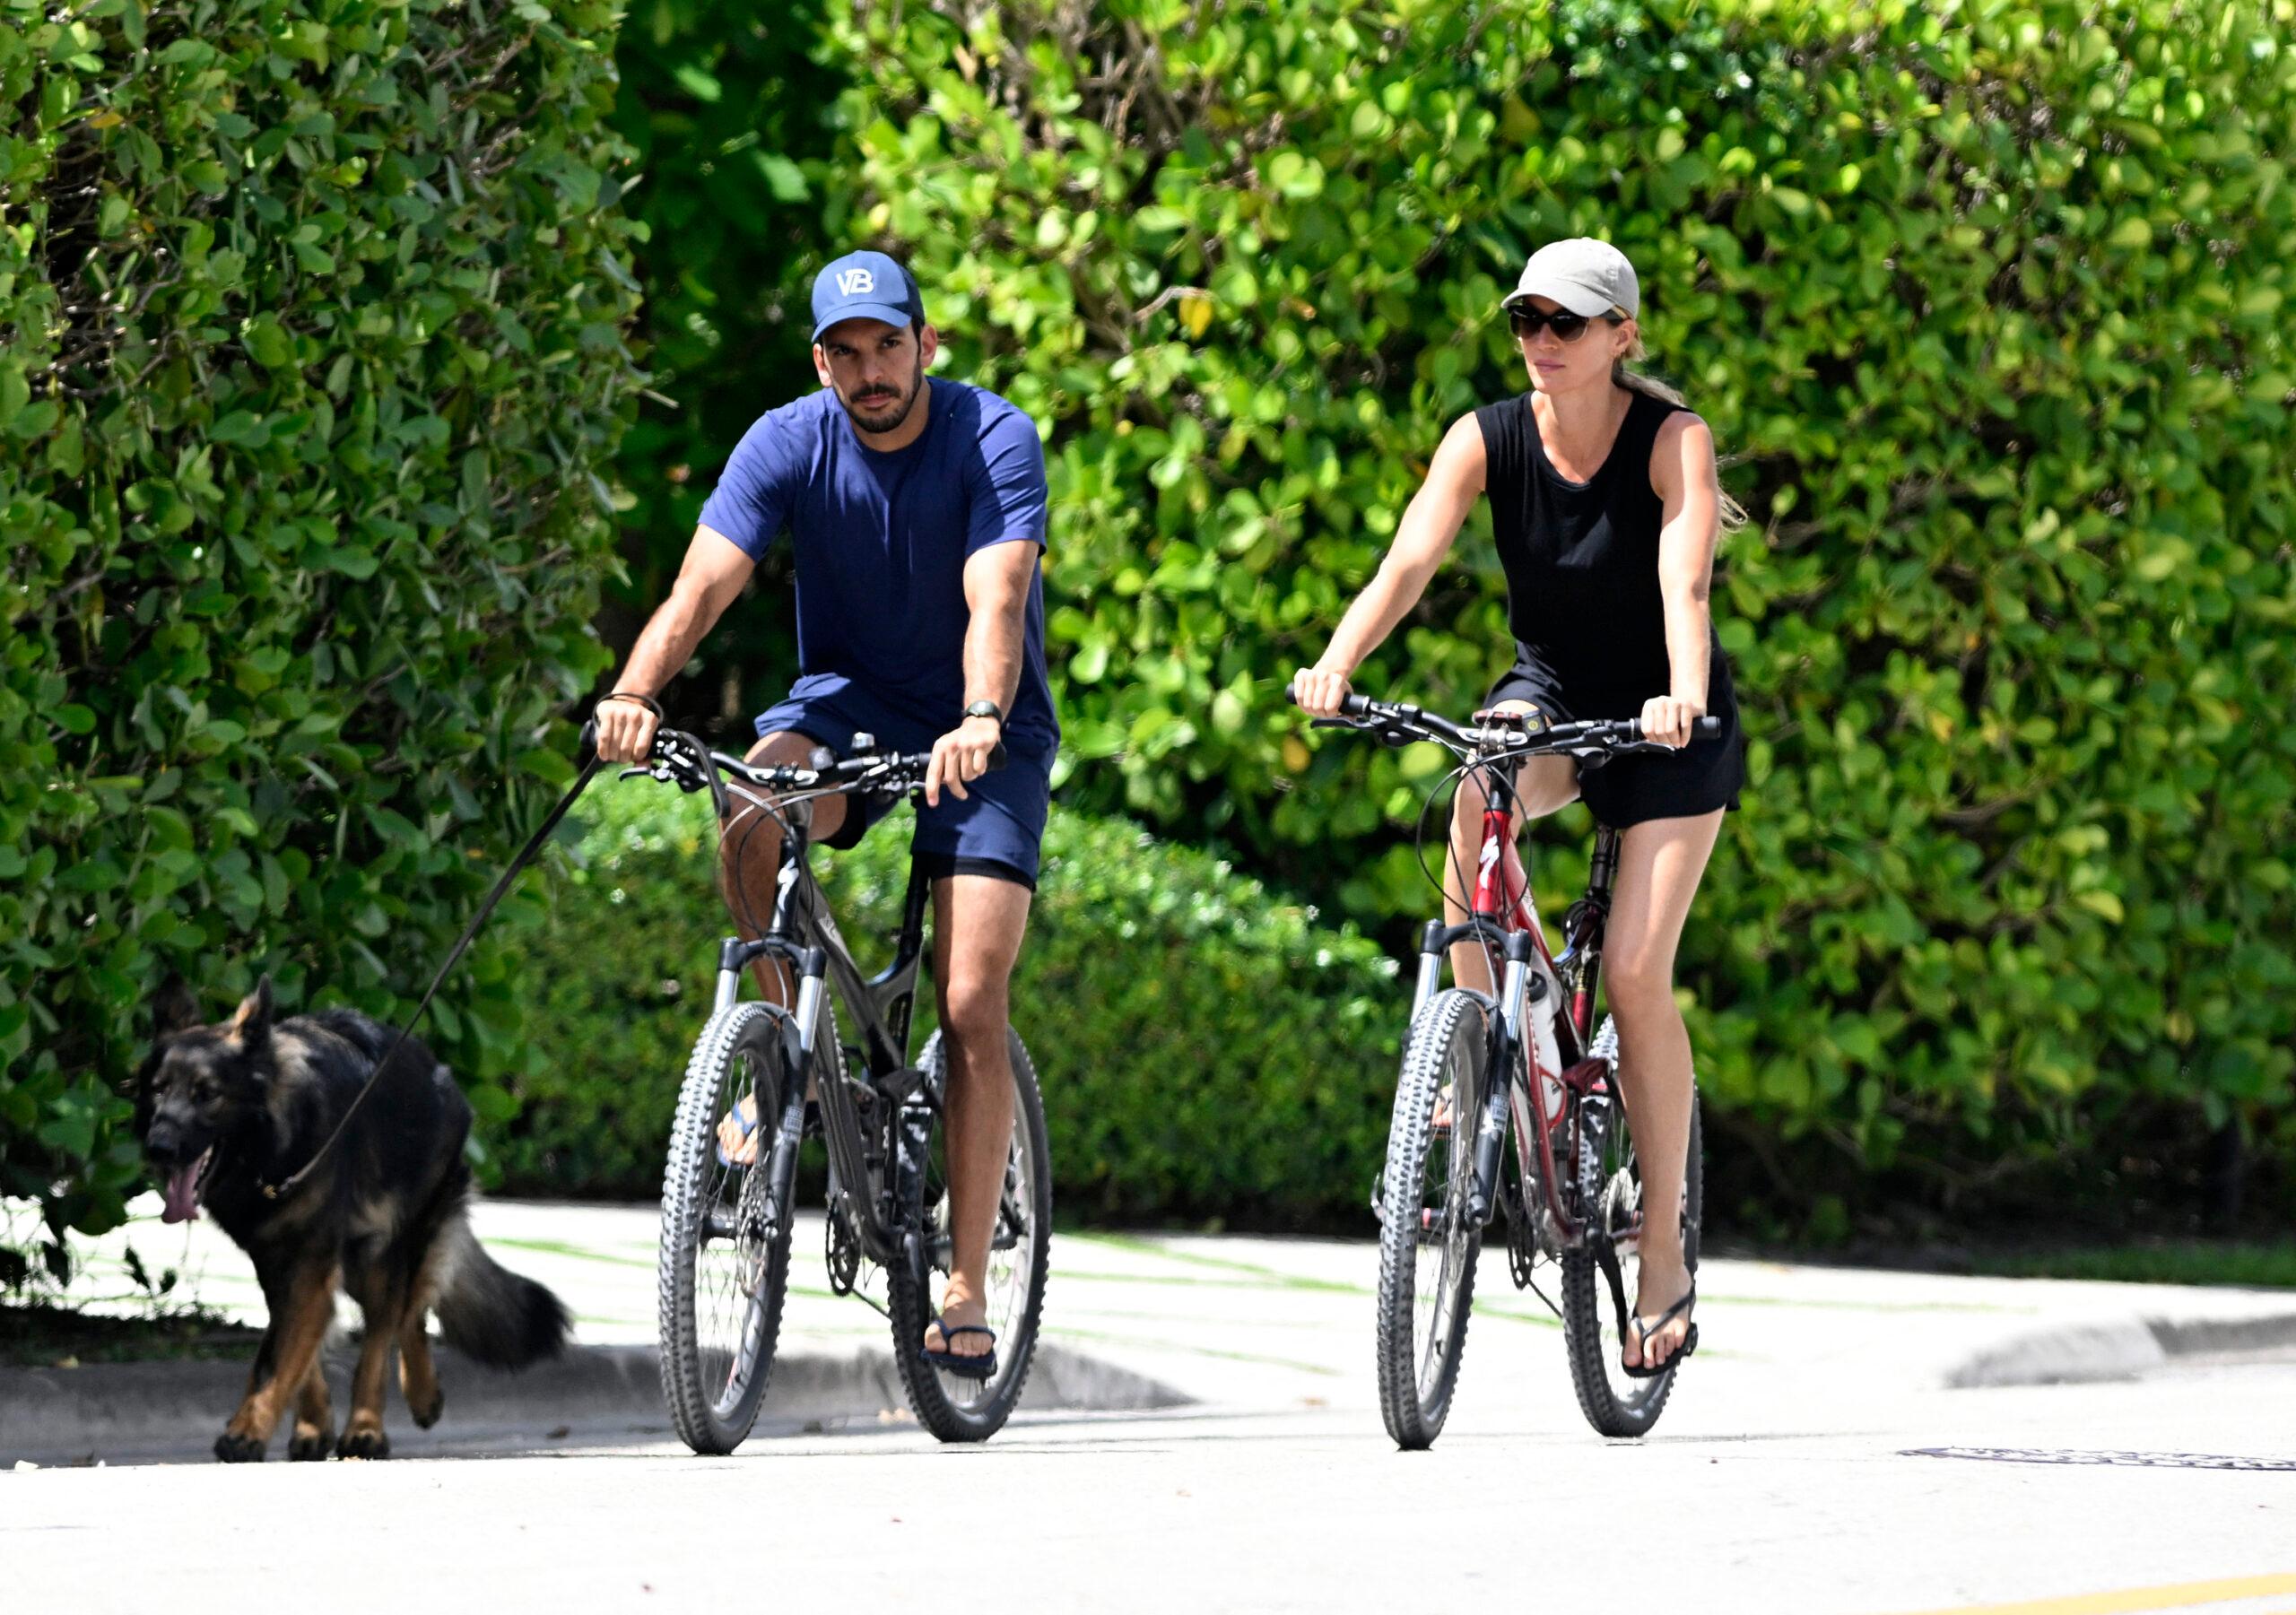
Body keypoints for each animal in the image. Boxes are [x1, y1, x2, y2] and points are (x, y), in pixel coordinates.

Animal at [135, 977, 569, 1459]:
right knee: (406, 1314)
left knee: (393, 1322)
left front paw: (246, 1432)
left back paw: (371, 1424)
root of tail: (440, 1072)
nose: (159, 1147)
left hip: (384, 1254)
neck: (273, 1150)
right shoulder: (279, 1263)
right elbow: (298, 1347)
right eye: (158, 1090)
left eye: (207, 1094)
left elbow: (276, 1357)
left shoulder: (308, 1264)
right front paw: (311, 1424)